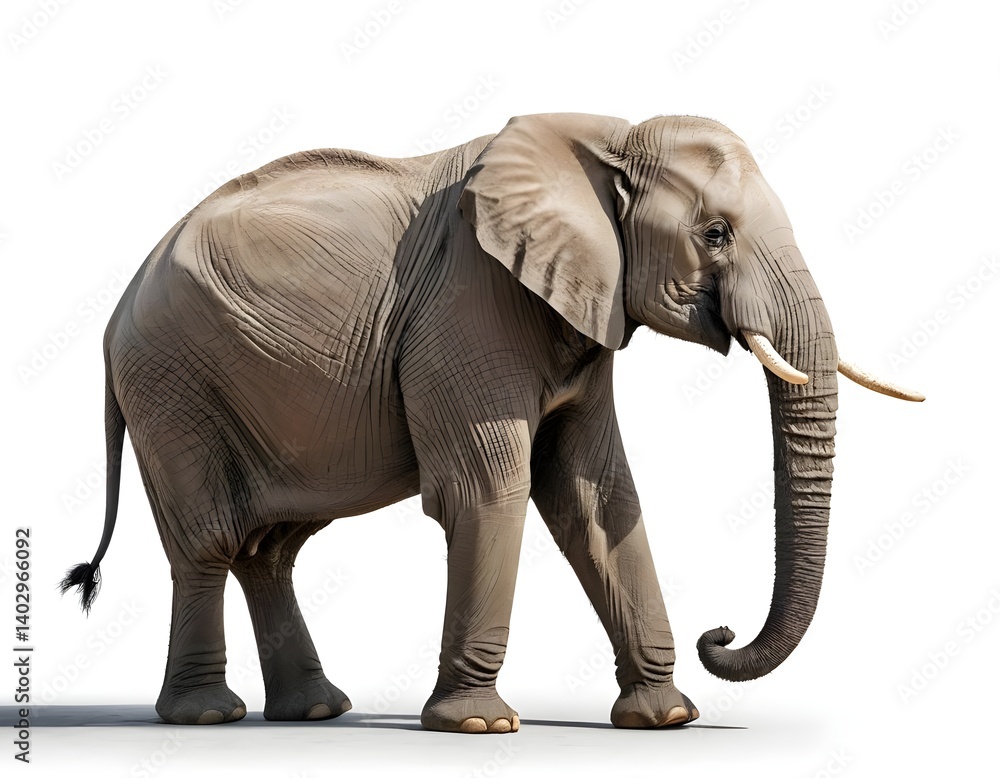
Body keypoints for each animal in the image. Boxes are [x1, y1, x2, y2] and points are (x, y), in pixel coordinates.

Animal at [62, 112, 923, 732]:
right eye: (715, 234)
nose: (724, 634)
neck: (604, 138)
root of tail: (114, 312)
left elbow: (595, 496)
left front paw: (668, 718)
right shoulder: (469, 303)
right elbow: (489, 488)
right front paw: (478, 726)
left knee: (271, 549)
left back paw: (315, 710)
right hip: (171, 384)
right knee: (209, 541)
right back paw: (208, 717)